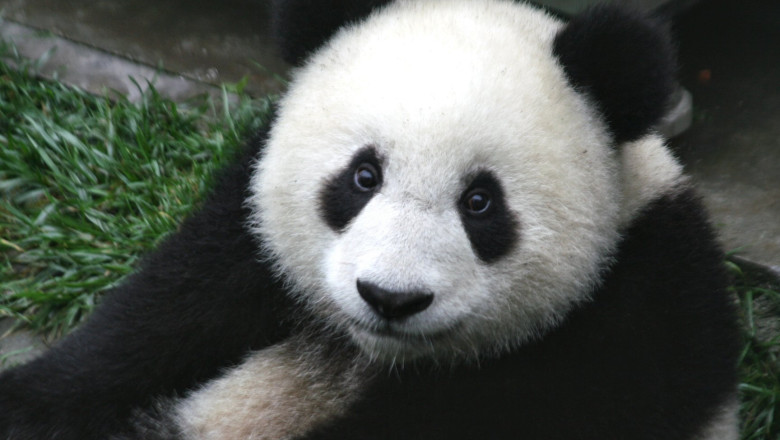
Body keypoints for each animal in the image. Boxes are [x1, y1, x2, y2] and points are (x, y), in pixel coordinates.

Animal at [0, 0, 740, 439]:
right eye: (363, 177)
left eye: (480, 203)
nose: (391, 297)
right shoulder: (247, 231)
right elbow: (160, 314)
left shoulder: (630, 327)